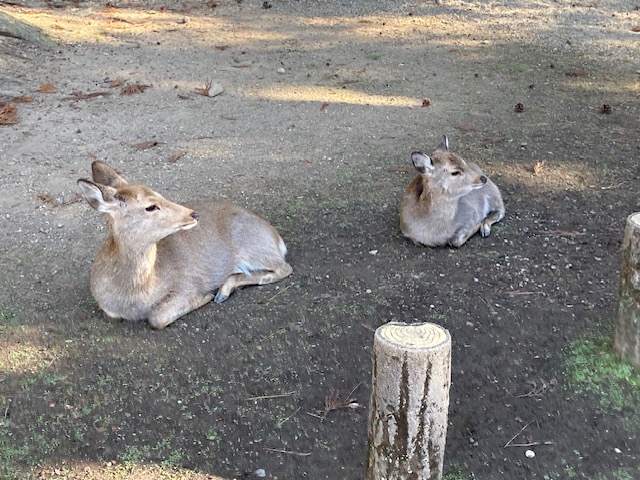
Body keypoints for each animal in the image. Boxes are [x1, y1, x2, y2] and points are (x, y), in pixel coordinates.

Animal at [78, 161, 296, 330]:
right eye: (150, 206)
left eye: (160, 193)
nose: (193, 213)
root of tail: (276, 238)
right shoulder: (108, 310)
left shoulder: (186, 285)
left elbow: (157, 318)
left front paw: (205, 297)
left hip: (252, 246)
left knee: (284, 267)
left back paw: (221, 292)